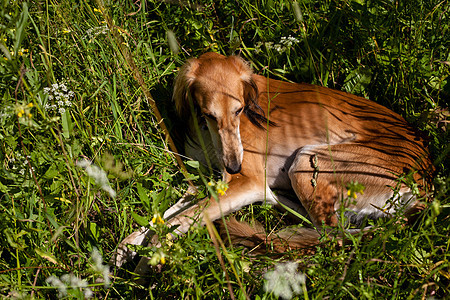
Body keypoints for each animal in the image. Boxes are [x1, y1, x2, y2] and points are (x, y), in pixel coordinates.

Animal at [111, 52, 432, 276]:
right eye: (209, 114)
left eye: (239, 110)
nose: (234, 166)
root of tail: (425, 183)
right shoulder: (205, 181)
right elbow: (163, 217)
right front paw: (126, 248)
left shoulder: (244, 182)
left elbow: (177, 221)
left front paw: (150, 259)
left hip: (307, 161)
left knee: (331, 238)